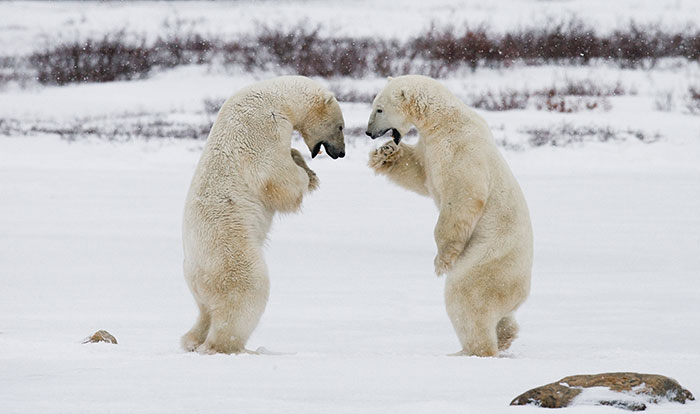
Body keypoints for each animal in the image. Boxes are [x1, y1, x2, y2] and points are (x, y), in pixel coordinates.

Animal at [181, 76, 346, 354]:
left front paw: (301, 160)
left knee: (204, 311)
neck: (277, 97)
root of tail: (196, 273)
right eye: (341, 126)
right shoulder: (262, 126)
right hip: (231, 251)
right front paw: (307, 177)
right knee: (247, 293)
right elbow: (274, 174)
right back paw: (234, 347)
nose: (341, 152)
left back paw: (192, 340)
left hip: (199, 280)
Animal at [365, 75, 532, 357]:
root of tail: (524, 289)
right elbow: (418, 172)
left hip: (490, 259)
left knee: (467, 296)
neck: (443, 120)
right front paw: (384, 154)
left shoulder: (460, 150)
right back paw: (505, 335)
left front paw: (441, 260)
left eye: (379, 109)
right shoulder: (429, 147)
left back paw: (469, 350)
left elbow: (462, 196)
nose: (369, 133)